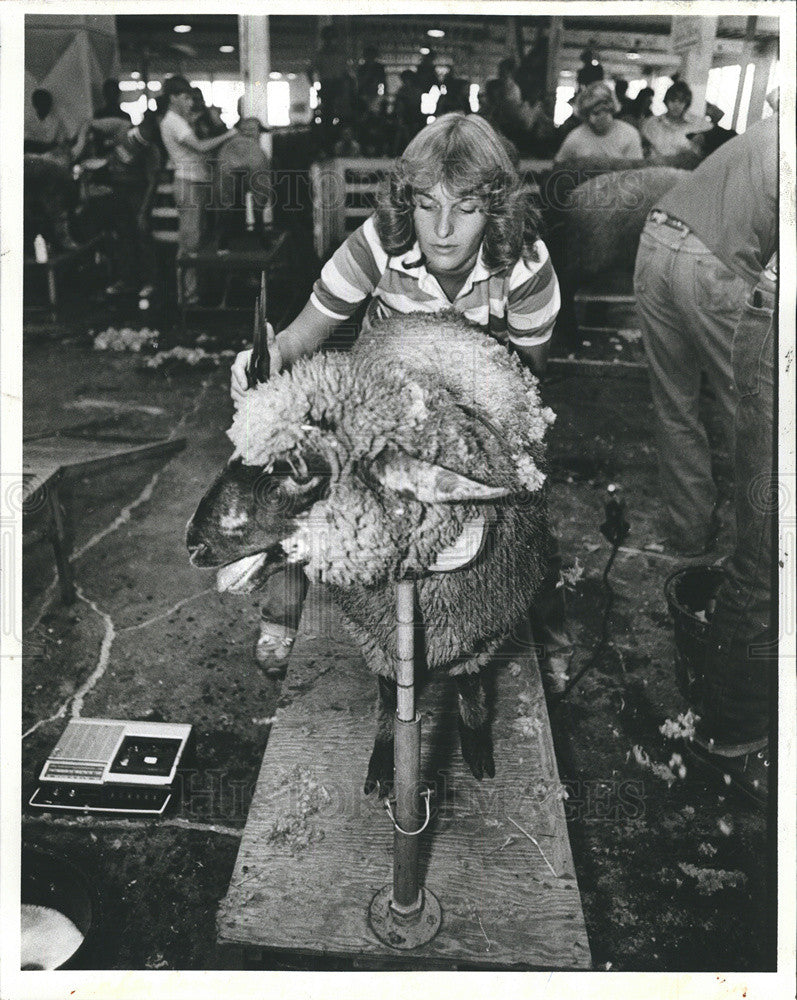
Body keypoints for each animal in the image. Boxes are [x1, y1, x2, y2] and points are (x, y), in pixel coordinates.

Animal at [188, 312, 552, 796]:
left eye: (296, 476)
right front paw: (386, 760)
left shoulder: (483, 624)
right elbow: (388, 694)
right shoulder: (373, 631)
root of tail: (435, 314)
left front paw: (475, 739)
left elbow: (469, 679)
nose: (193, 542)